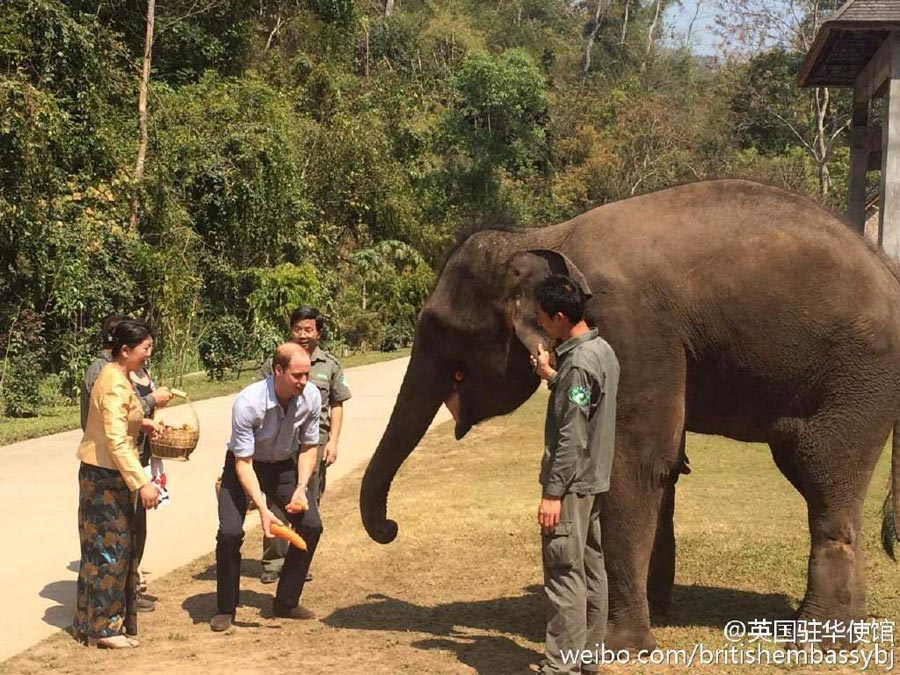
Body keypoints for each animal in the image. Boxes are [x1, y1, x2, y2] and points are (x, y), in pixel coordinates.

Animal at [356, 178, 900, 648]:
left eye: (443, 331)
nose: (391, 528)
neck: (544, 237)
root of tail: (887, 267)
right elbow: (666, 467)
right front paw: (655, 610)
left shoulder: (631, 327)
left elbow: (633, 463)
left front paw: (618, 644)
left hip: (859, 376)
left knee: (821, 476)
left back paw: (818, 639)